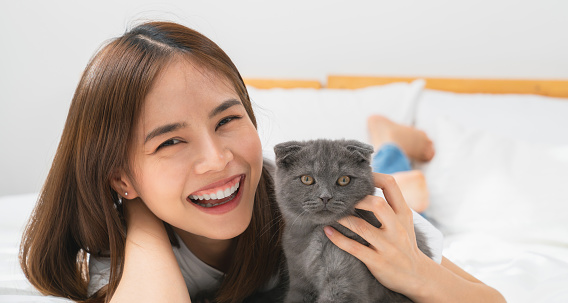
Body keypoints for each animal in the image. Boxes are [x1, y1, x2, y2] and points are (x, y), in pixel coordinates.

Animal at [274, 140, 430, 303]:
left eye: (344, 180)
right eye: (306, 179)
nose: (325, 197)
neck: (312, 237)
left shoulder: (345, 280)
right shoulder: (299, 279)